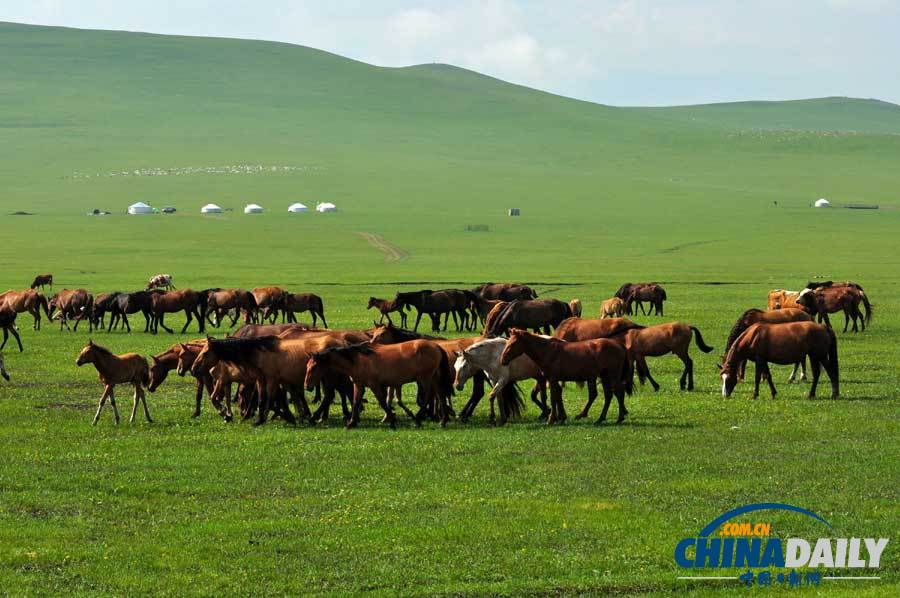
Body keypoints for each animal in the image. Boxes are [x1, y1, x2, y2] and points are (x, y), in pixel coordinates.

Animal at [304, 340, 458, 428]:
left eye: (314, 367)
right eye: (307, 366)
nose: (307, 386)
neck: (358, 359)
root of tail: (436, 346)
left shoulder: (374, 385)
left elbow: (383, 403)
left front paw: (392, 420)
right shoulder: (359, 385)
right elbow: (355, 402)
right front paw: (351, 422)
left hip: (425, 378)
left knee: (428, 397)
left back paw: (418, 419)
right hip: (433, 377)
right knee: (441, 394)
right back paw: (443, 420)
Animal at [500, 328, 632, 426]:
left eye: (513, 343)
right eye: (508, 342)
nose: (503, 359)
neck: (547, 351)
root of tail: (619, 345)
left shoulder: (552, 379)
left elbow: (553, 398)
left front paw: (551, 419)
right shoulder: (553, 380)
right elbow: (558, 396)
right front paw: (560, 417)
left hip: (612, 375)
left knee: (619, 392)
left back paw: (619, 417)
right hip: (604, 376)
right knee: (608, 395)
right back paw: (600, 418)